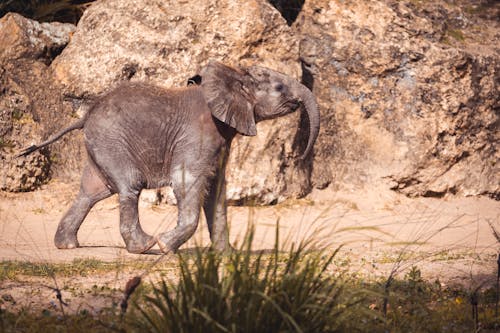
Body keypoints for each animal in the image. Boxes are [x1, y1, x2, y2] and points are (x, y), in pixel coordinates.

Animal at [18, 59, 320, 253]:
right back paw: (145, 246)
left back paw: (67, 245)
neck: (231, 75)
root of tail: (85, 115)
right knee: (129, 185)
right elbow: (187, 182)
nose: (301, 155)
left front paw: (228, 257)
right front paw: (165, 246)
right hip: (112, 141)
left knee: (92, 192)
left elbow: (216, 192)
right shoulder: (198, 134)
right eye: (280, 88)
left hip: (100, 146)